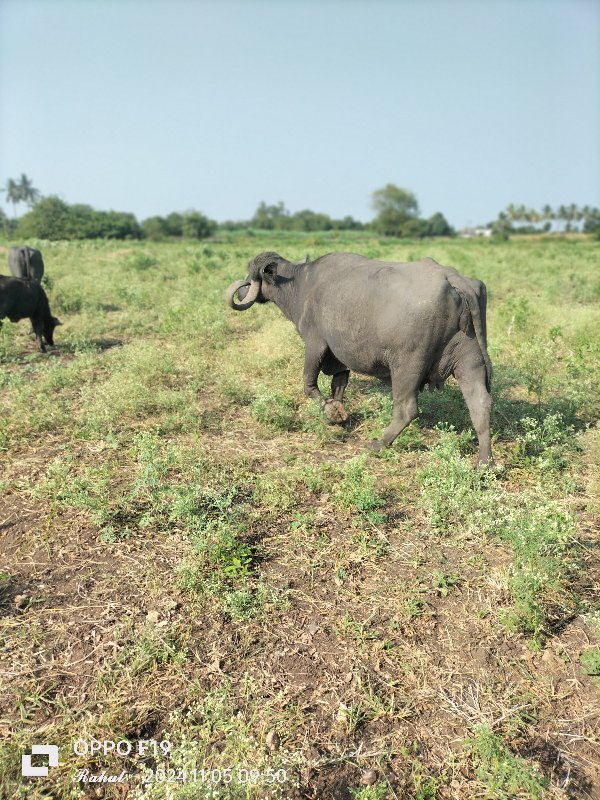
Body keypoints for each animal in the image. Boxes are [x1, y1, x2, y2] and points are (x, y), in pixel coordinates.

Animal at [225, 250, 492, 462]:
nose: (244, 292)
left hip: (407, 365)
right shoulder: (339, 357)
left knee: (407, 409)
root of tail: (454, 281)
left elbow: (309, 384)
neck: (301, 285)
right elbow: (339, 384)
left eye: (252, 274)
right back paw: (484, 461)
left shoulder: (315, 344)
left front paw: (331, 412)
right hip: (468, 359)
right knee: (480, 403)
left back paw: (378, 444)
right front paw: (339, 413)